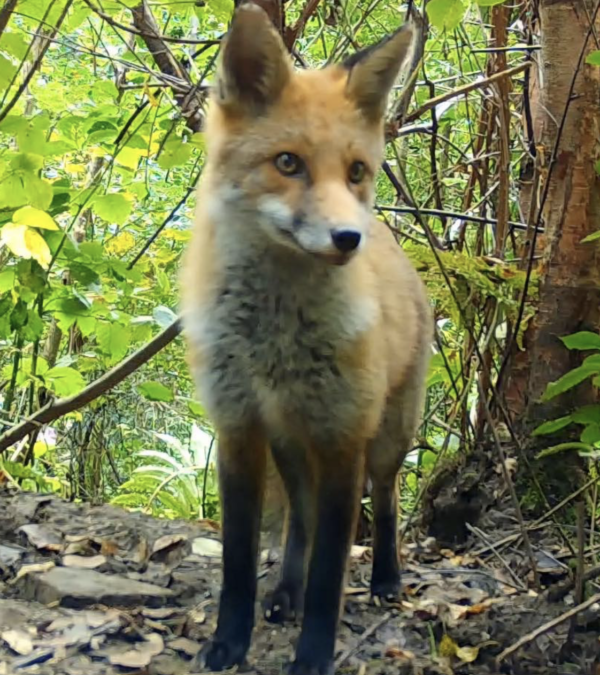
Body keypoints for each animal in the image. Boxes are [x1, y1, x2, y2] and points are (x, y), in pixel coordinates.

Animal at [180, 5, 432, 675]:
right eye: (288, 163)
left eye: (356, 172)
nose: (349, 238)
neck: (274, 340)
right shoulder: (238, 429)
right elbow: (239, 562)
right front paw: (229, 642)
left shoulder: (344, 439)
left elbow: (330, 576)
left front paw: (313, 656)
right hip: (291, 444)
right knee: (300, 518)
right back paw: (283, 594)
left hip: (387, 438)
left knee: (387, 502)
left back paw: (387, 580)